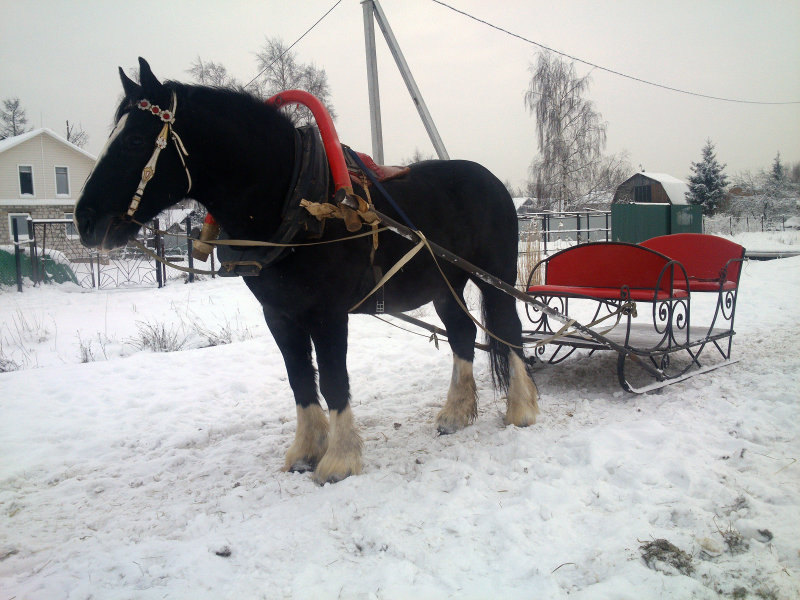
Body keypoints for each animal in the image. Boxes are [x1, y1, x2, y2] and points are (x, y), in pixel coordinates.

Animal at [75, 58, 540, 486]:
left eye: (135, 139)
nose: (84, 220)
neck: (294, 199)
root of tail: (492, 181)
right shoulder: (280, 315)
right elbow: (300, 379)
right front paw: (305, 451)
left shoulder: (327, 314)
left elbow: (333, 379)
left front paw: (339, 460)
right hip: (445, 285)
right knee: (463, 333)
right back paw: (455, 414)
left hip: (495, 277)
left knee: (508, 330)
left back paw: (521, 409)